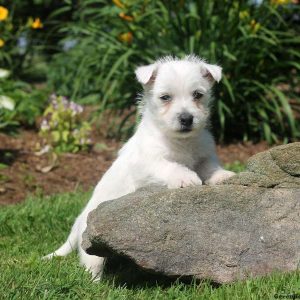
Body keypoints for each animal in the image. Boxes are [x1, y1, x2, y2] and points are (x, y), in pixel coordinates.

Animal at [45, 55, 236, 278]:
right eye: (165, 97)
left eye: (198, 95)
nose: (186, 118)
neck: (181, 142)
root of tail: (77, 224)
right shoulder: (148, 164)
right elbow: (169, 166)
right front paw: (185, 177)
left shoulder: (203, 156)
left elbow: (209, 166)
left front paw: (222, 175)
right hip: (91, 244)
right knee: (91, 262)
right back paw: (95, 280)